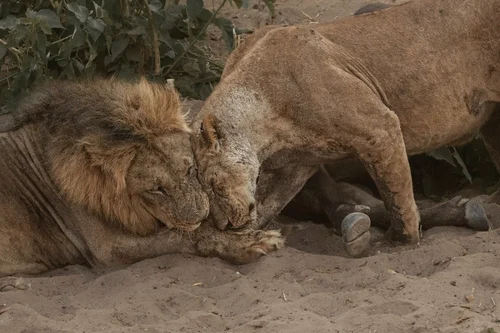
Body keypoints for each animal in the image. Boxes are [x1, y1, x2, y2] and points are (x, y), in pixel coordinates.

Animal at [0, 77, 286, 274]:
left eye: (190, 169)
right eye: (155, 189)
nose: (198, 215)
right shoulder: (108, 249)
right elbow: (190, 236)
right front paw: (252, 242)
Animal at [189, 0, 500, 245]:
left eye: (215, 185)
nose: (225, 224)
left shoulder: (380, 126)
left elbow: (396, 196)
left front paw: (402, 238)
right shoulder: (295, 167)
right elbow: (269, 204)